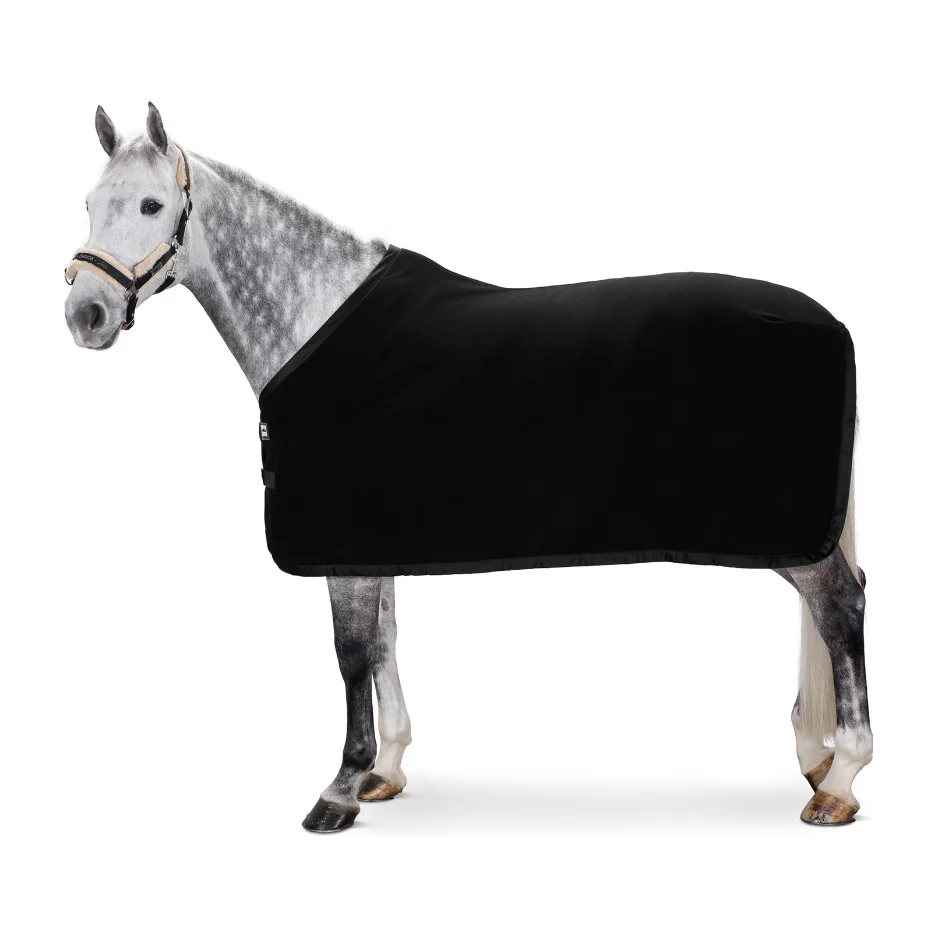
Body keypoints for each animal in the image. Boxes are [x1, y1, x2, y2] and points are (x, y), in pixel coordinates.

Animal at [63, 103, 872, 833]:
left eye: (152, 204)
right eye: (89, 204)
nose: (85, 316)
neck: (312, 315)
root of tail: (831, 322)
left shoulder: (340, 545)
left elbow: (351, 655)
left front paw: (340, 788)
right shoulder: (367, 542)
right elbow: (384, 644)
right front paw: (386, 771)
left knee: (840, 606)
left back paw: (841, 780)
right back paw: (817, 760)